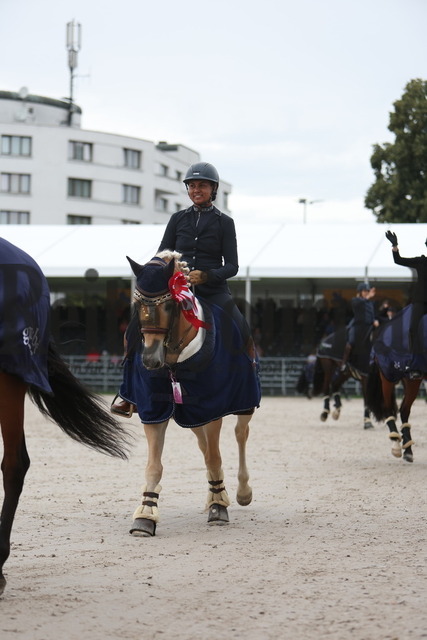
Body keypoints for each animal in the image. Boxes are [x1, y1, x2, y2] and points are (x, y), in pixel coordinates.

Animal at [117, 250, 260, 536]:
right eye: (137, 305)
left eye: (169, 305)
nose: (150, 360)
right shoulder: (155, 409)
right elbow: (154, 466)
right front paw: (146, 515)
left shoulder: (212, 407)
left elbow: (215, 457)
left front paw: (219, 508)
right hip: (191, 415)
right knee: (204, 445)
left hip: (243, 403)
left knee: (240, 433)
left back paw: (241, 492)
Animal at [366, 304, 426, 460]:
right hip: (388, 376)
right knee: (389, 408)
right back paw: (397, 445)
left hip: (411, 380)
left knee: (404, 409)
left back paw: (408, 449)